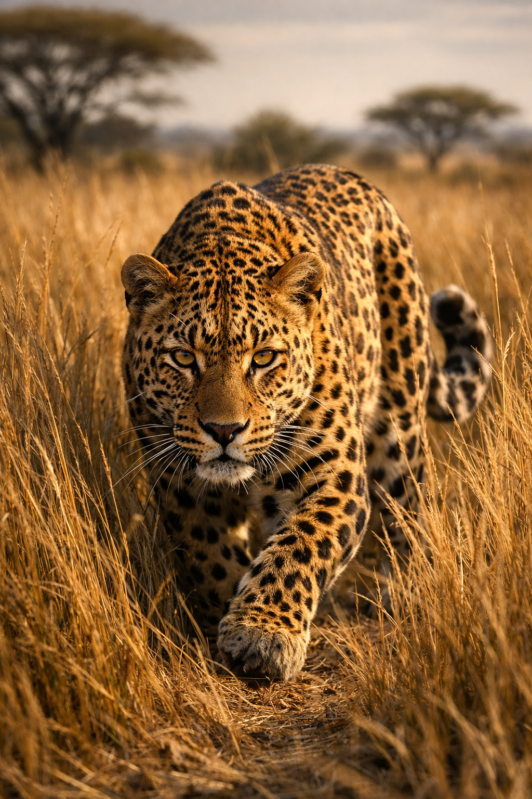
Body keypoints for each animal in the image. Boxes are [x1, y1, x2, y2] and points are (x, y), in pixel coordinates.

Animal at [121, 164, 491, 682]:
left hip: (400, 429)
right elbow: (211, 556)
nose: (223, 431)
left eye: (263, 358)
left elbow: (301, 544)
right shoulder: (181, 482)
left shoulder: (334, 471)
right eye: (183, 358)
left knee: (408, 510)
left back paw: (401, 593)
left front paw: (262, 633)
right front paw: (224, 620)